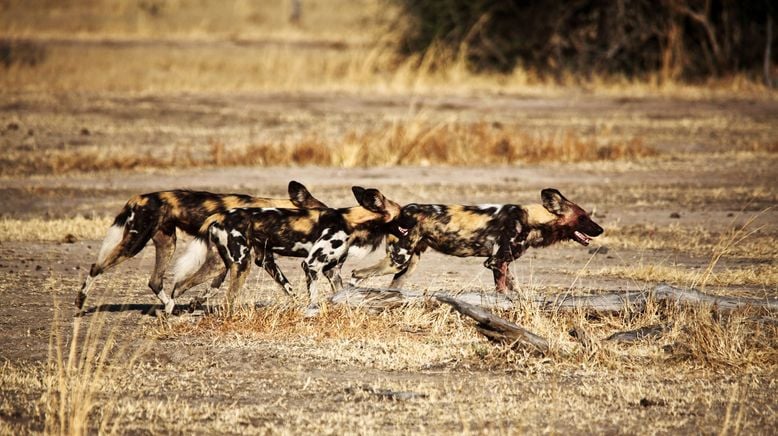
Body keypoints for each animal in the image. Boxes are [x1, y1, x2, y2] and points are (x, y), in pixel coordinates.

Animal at [76, 181, 324, 314]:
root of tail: (139, 197)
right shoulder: (242, 260)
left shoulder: (254, 260)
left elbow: (211, 288)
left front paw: (195, 303)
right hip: (134, 245)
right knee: (96, 267)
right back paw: (80, 302)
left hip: (167, 243)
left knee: (155, 281)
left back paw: (170, 307)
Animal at [174, 186, 410, 316]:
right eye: (403, 213)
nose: (413, 221)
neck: (350, 220)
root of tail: (219, 215)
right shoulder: (312, 265)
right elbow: (313, 297)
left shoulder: (332, 271)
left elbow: (340, 294)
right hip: (241, 264)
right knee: (228, 299)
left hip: (220, 266)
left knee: (179, 286)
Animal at [350, 187, 600, 292]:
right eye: (583, 217)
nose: (600, 229)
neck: (532, 219)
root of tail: (402, 209)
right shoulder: (495, 262)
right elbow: (502, 292)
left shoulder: (503, 263)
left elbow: (515, 291)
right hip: (398, 259)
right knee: (357, 272)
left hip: (408, 266)